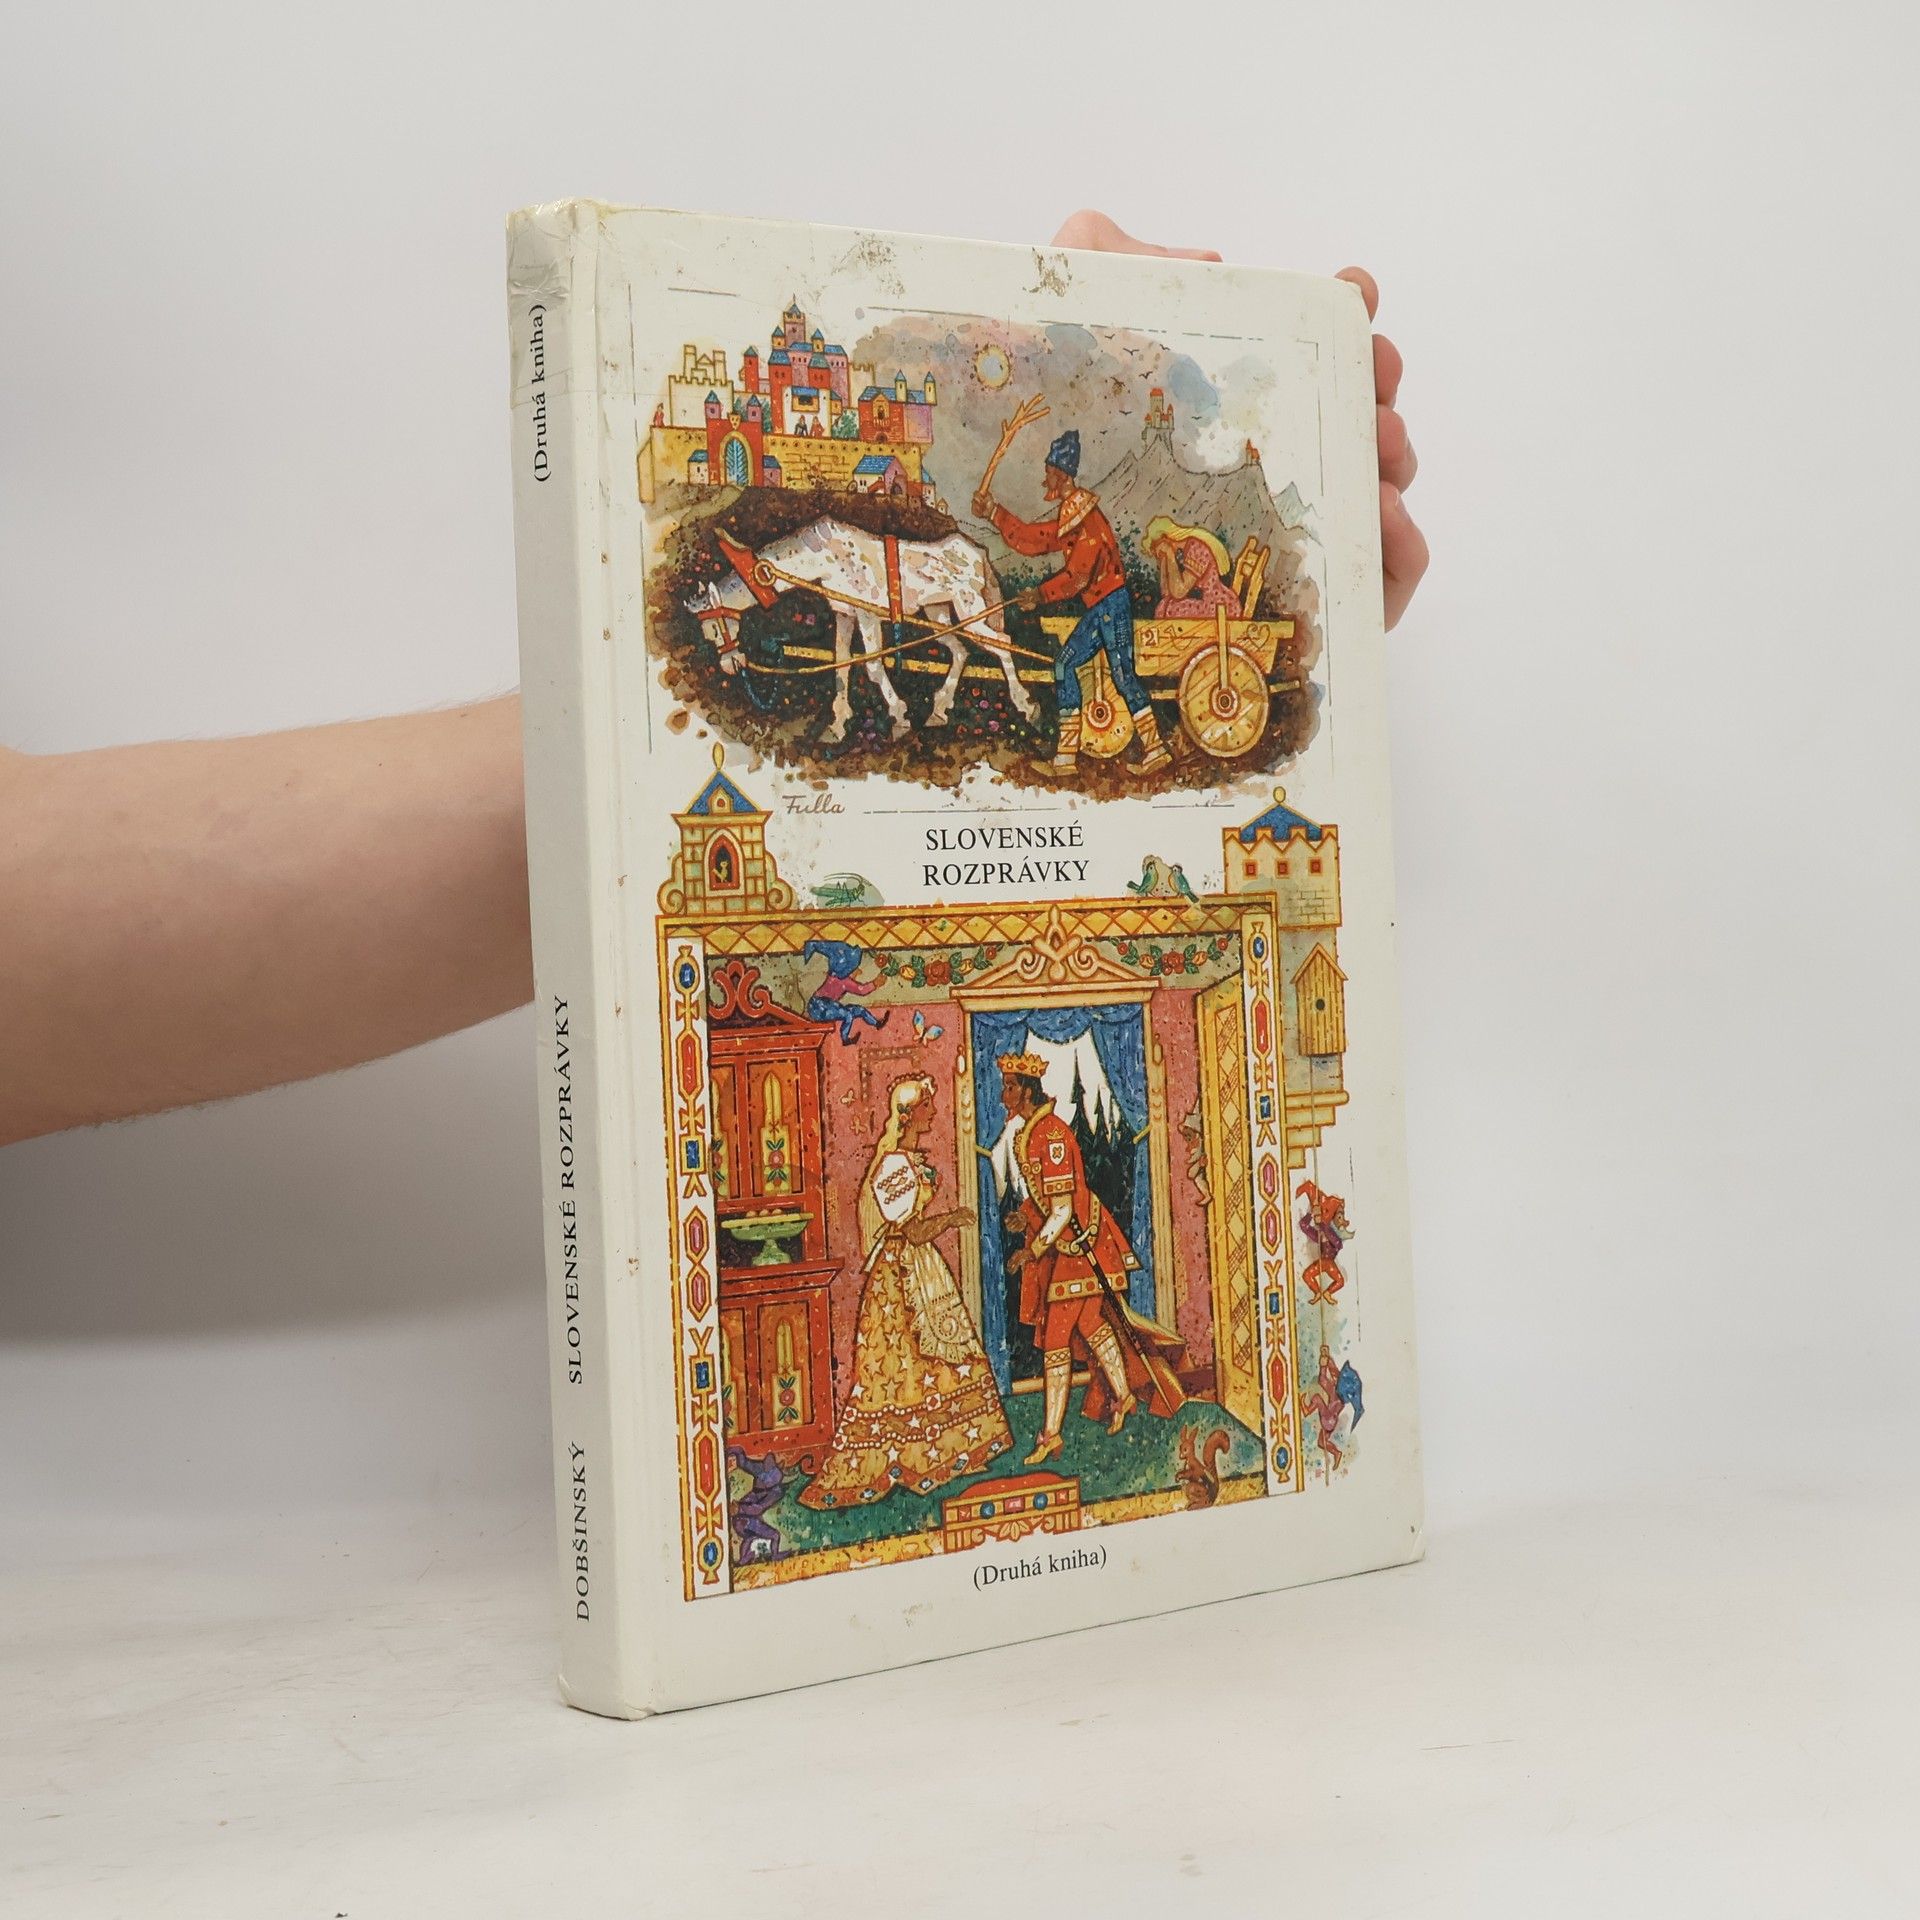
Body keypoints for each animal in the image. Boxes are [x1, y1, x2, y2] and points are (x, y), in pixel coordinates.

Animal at [686, 517, 1040, 745]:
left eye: (714, 627)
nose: (730, 665)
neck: (826, 556)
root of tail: (974, 551)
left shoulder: (868, 616)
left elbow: (871, 665)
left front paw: (898, 715)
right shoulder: (844, 615)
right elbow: (842, 664)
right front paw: (839, 722)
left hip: (971, 611)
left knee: (1002, 642)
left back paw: (1026, 705)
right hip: (938, 613)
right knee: (961, 651)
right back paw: (939, 711)